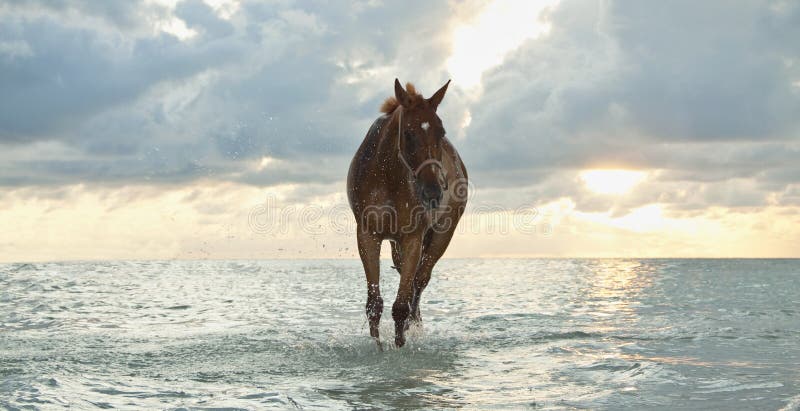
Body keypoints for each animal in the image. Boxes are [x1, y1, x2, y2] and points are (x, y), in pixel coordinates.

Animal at [346, 79, 468, 350]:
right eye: (408, 134)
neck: (387, 176)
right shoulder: (367, 235)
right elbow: (374, 304)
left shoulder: (413, 237)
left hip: (443, 234)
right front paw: (379, 347)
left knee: (419, 282)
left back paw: (415, 324)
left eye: (441, 132)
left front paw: (401, 344)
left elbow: (401, 304)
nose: (434, 191)